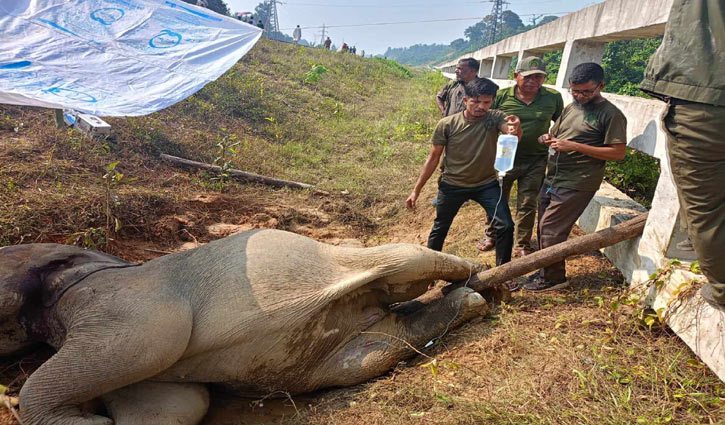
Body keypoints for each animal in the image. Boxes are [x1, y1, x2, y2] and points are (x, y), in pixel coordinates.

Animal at [1, 229, 492, 424]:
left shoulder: (123, 299)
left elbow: (152, 343)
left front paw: (88, 419)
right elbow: (176, 406)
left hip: (351, 258)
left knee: (405, 261)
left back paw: (475, 272)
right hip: (335, 353)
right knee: (374, 350)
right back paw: (467, 300)